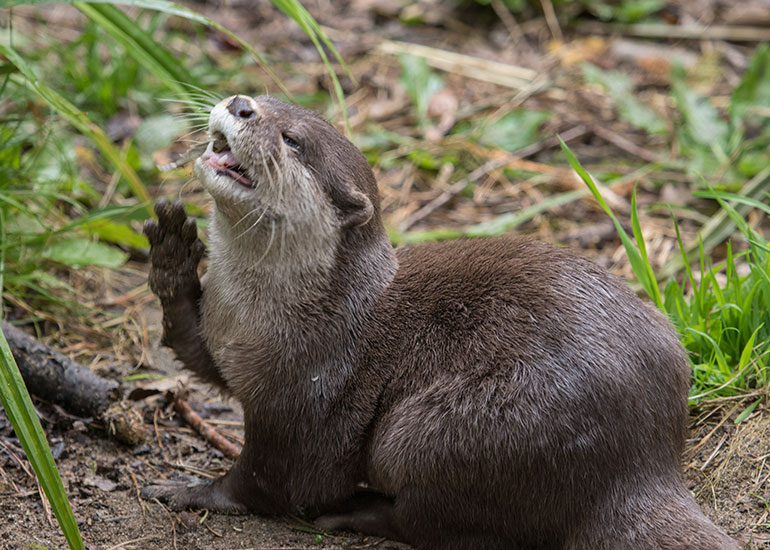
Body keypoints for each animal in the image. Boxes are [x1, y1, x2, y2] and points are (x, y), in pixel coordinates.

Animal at [142, 95, 739, 549]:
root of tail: (645, 465)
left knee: (433, 518)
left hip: (454, 433)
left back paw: (358, 513)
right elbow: (192, 348)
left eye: (291, 140)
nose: (241, 104)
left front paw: (190, 490)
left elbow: (277, 482)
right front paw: (171, 254)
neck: (275, 311)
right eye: (265, 99)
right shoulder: (226, 342)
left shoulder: (307, 394)